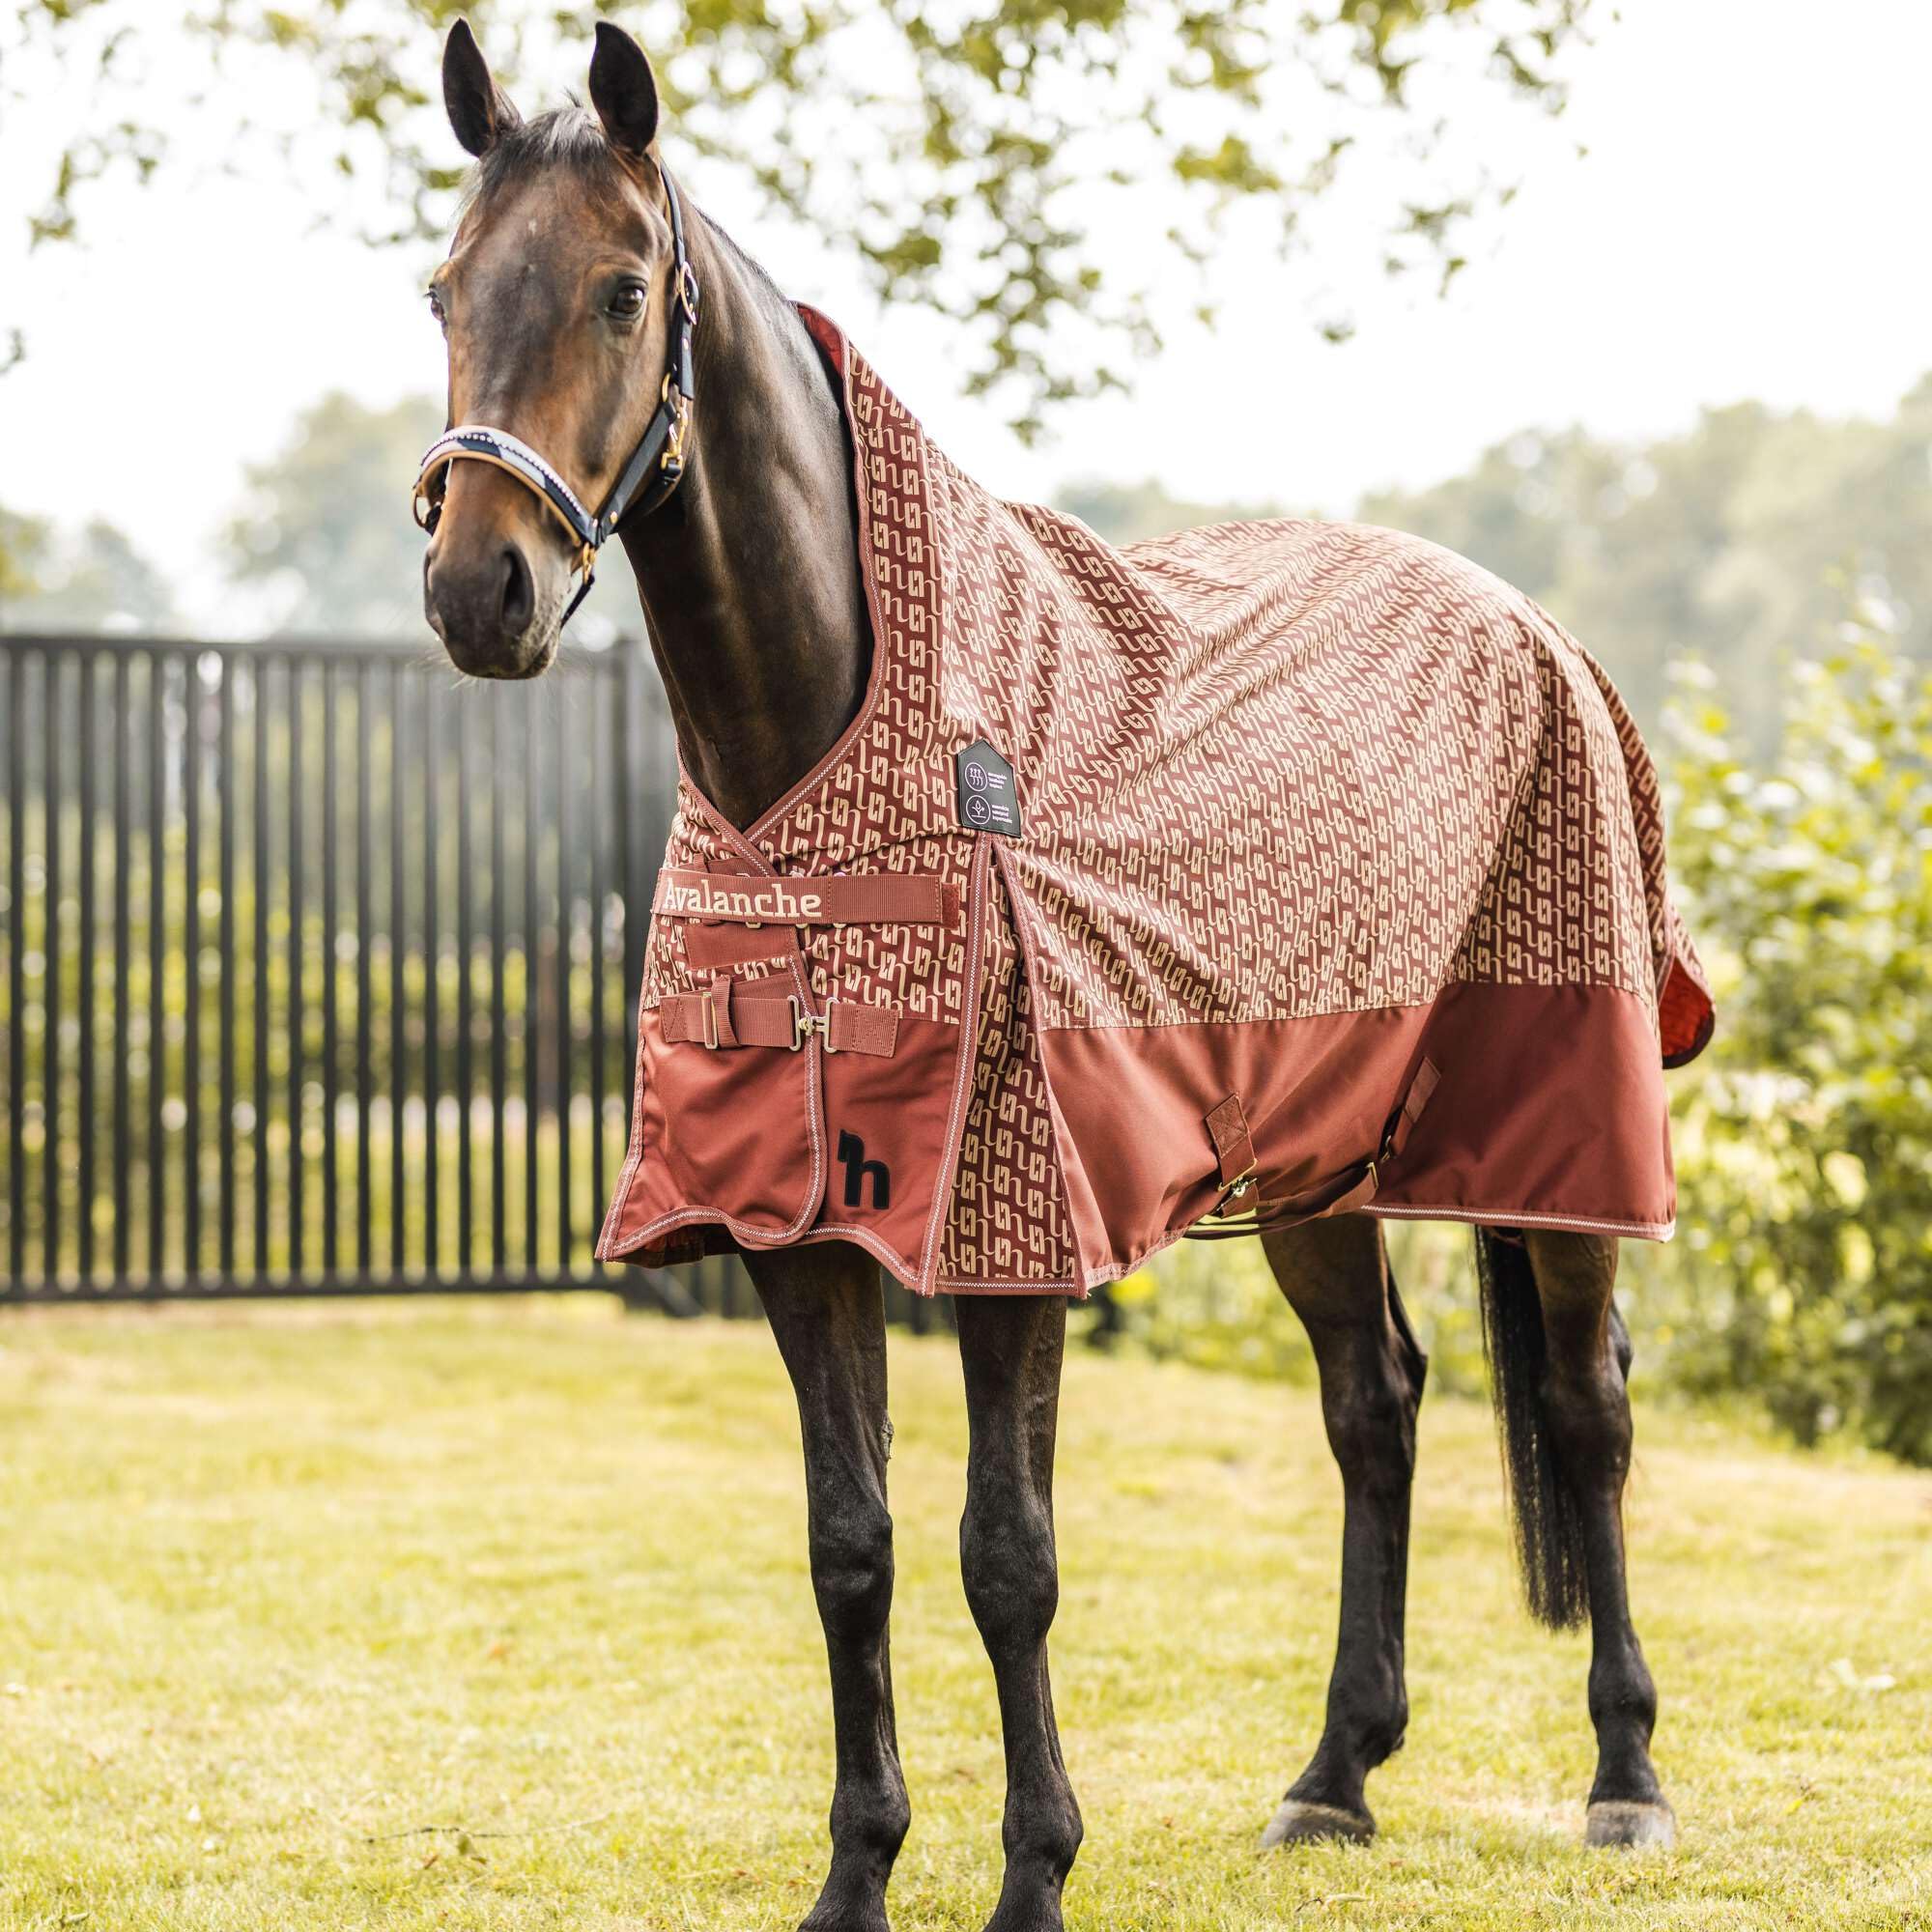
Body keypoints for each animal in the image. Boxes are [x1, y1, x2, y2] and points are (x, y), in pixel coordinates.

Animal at [415, 21, 1684, 1929]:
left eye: (625, 291)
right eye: (443, 289)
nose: (477, 591)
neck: (841, 759)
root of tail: (1540, 629)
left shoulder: (1012, 1232)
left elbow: (1005, 1557)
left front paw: (1032, 1876)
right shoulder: (790, 1230)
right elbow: (850, 1551)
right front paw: (856, 1879)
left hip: (1561, 1133)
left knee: (1588, 1412)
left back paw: (1624, 1782)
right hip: (1317, 1154)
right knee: (1374, 1408)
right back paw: (1333, 1778)